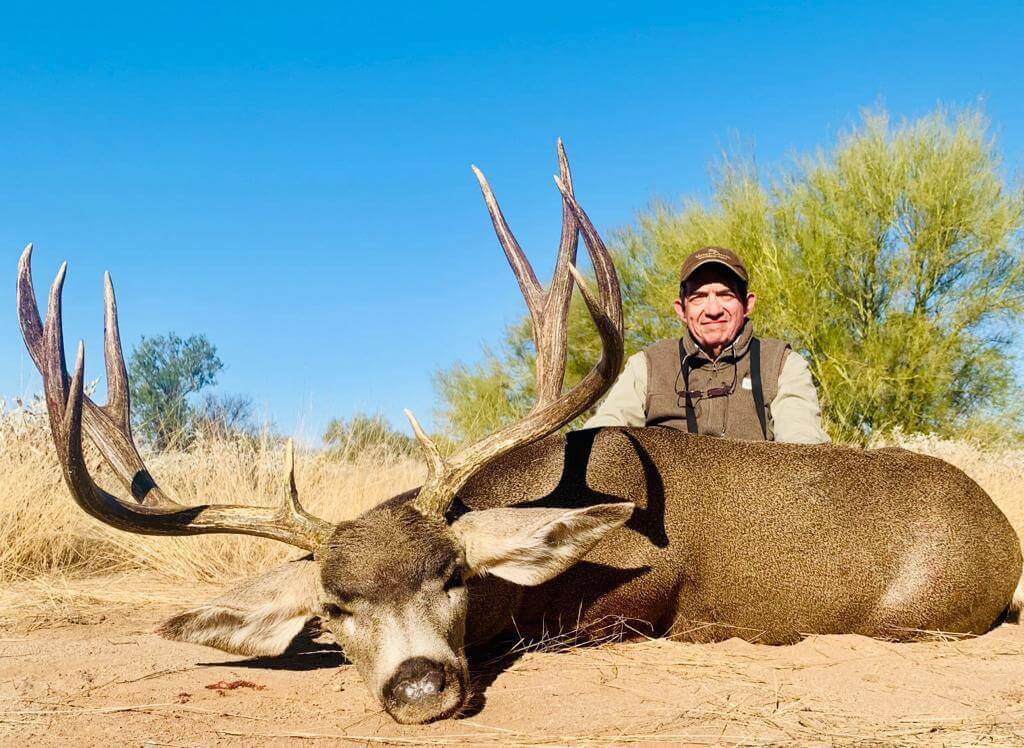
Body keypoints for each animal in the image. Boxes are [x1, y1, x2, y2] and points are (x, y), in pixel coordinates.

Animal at [16, 142, 1024, 726]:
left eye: (453, 575)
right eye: (334, 607)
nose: (419, 686)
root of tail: (1001, 530)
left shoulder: (640, 597)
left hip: (917, 615)